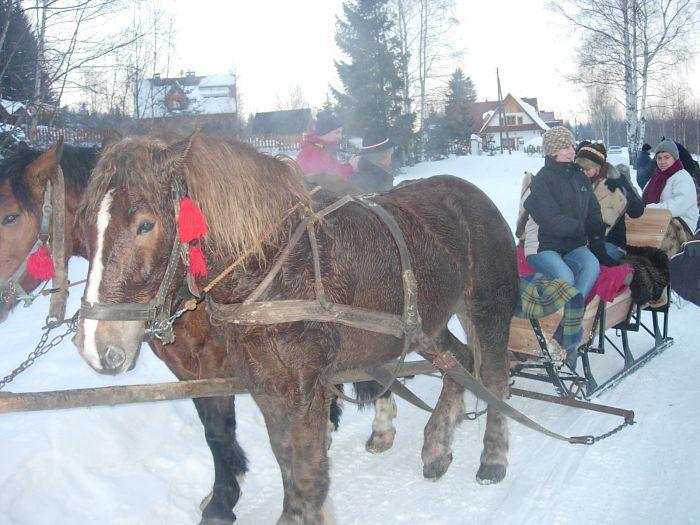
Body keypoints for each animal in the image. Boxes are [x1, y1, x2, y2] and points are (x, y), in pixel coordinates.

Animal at [72, 135, 520, 524]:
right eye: (84, 224)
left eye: (145, 225)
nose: (97, 345)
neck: (275, 266)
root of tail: (471, 193)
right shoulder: (263, 384)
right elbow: (287, 461)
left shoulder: (304, 387)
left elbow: (305, 473)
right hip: (425, 323)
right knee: (458, 361)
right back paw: (437, 446)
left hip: (488, 309)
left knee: (495, 378)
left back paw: (493, 459)